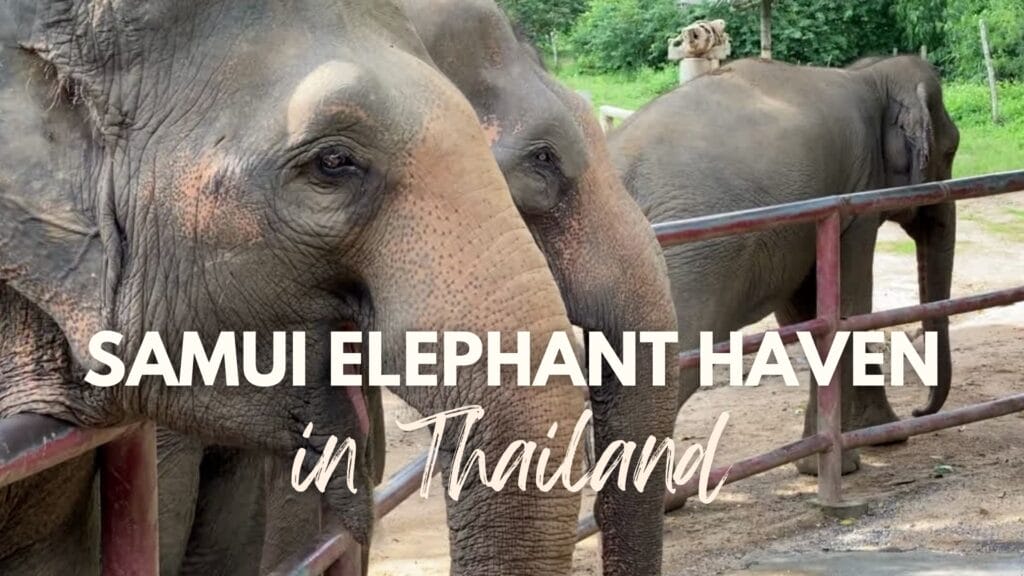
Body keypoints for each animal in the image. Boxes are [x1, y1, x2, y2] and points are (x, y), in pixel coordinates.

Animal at [608, 55, 959, 475]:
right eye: (951, 151)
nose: (919, 411)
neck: (868, 74)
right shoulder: (858, 195)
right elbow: (851, 310)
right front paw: (846, 463)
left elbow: (809, 316)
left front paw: (870, 441)